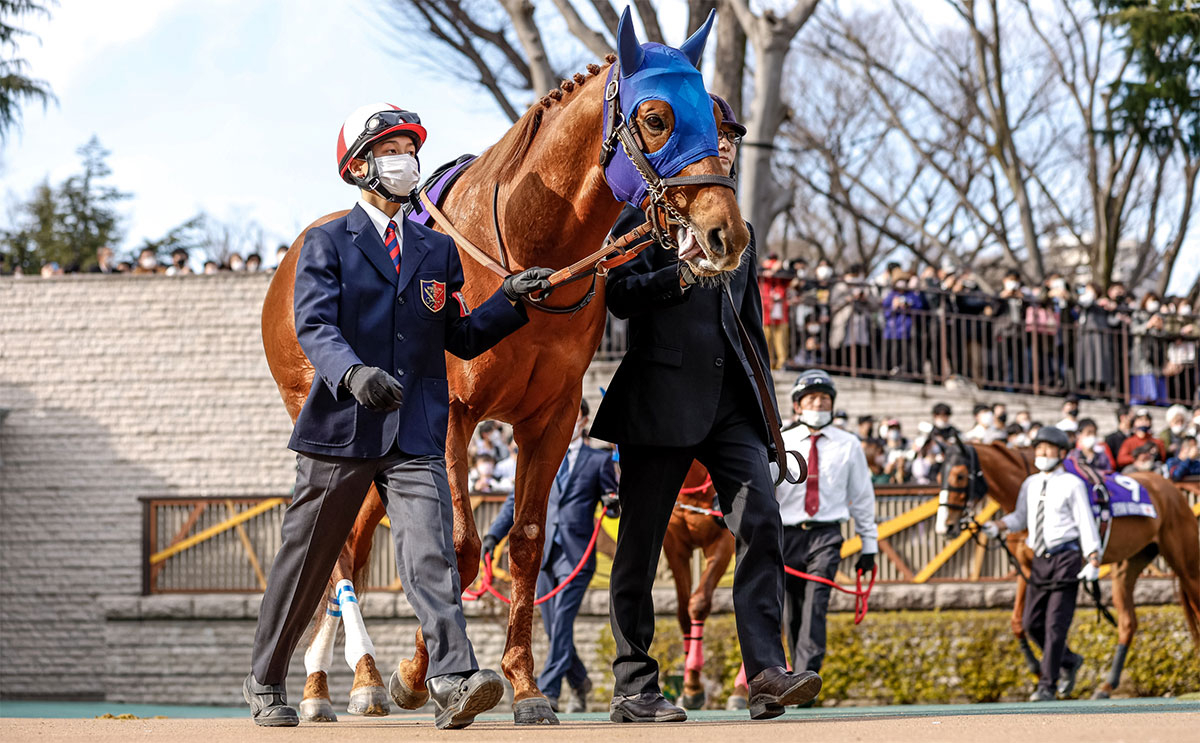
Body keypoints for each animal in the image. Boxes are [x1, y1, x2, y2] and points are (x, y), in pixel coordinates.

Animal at [936, 441, 1200, 696]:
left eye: (959, 475)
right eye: (940, 476)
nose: (944, 526)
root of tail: (1171, 490)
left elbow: (1050, 623)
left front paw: (1058, 674)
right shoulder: (1028, 569)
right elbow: (1019, 622)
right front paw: (1046, 670)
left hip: (1186, 564)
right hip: (1129, 564)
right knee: (1128, 622)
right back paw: (1106, 687)